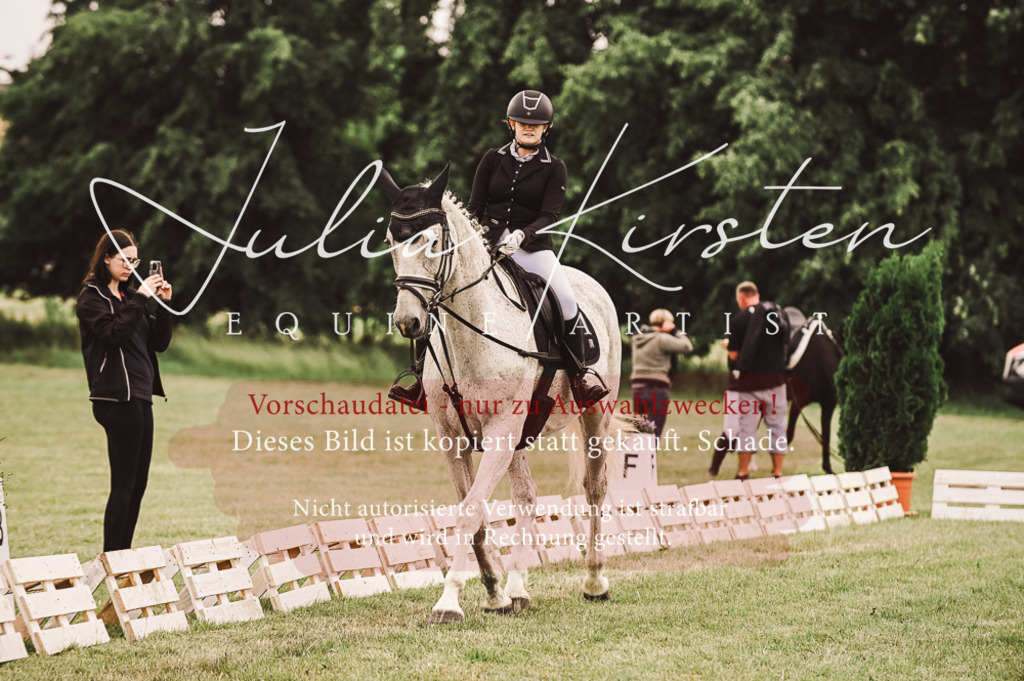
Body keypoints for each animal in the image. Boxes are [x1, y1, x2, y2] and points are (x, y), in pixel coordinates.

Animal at [378, 163, 622, 624]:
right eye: (390, 242)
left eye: (431, 242)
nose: (408, 322)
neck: (471, 332)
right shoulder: (454, 437)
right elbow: (473, 512)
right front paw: (493, 592)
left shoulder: (500, 429)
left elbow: (471, 511)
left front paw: (448, 602)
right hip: (519, 434)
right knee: (526, 494)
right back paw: (518, 590)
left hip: (592, 414)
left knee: (595, 487)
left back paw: (596, 581)